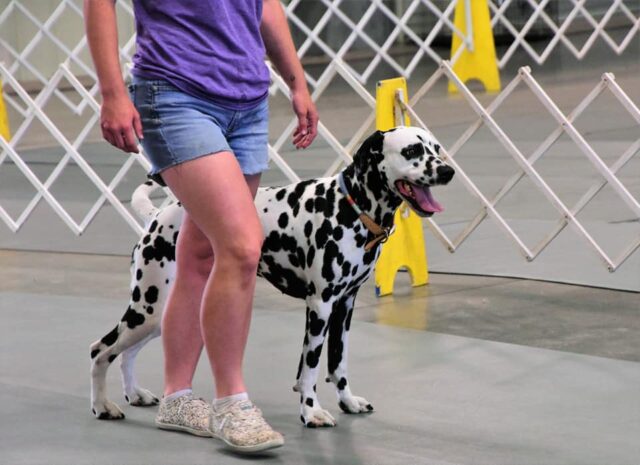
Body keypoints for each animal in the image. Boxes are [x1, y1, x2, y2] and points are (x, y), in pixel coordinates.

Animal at [91, 124, 456, 428]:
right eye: (411, 150)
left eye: (436, 147)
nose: (448, 171)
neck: (350, 207)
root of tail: (157, 217)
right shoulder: (320, 306)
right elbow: (311, 368)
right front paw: (311, 412)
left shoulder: (344, 306)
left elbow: (337, 363)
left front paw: (348, 402)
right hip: (147, 310)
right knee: (100, 350)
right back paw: (103, 406)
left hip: (158, 316)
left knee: (125, 353)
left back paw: (135, 393)